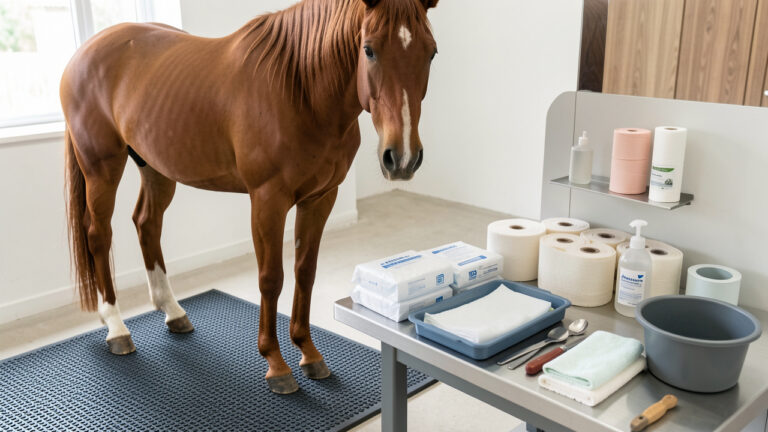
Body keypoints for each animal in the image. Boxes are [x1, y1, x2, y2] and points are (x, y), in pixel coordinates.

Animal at [61, 0, 439, 394]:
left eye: (431, 52)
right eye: (368, 49)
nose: (403, 157)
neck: (301, 91)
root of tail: (84, 53)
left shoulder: (320, 198)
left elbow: (305, 272)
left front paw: (309, 353)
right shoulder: (268, 200)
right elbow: (271, 278)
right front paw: (276, 363)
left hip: (155, 168)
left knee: (147, 223)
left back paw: (173, 311)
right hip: (101, 167)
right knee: (99, 235)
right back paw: (116, 326)